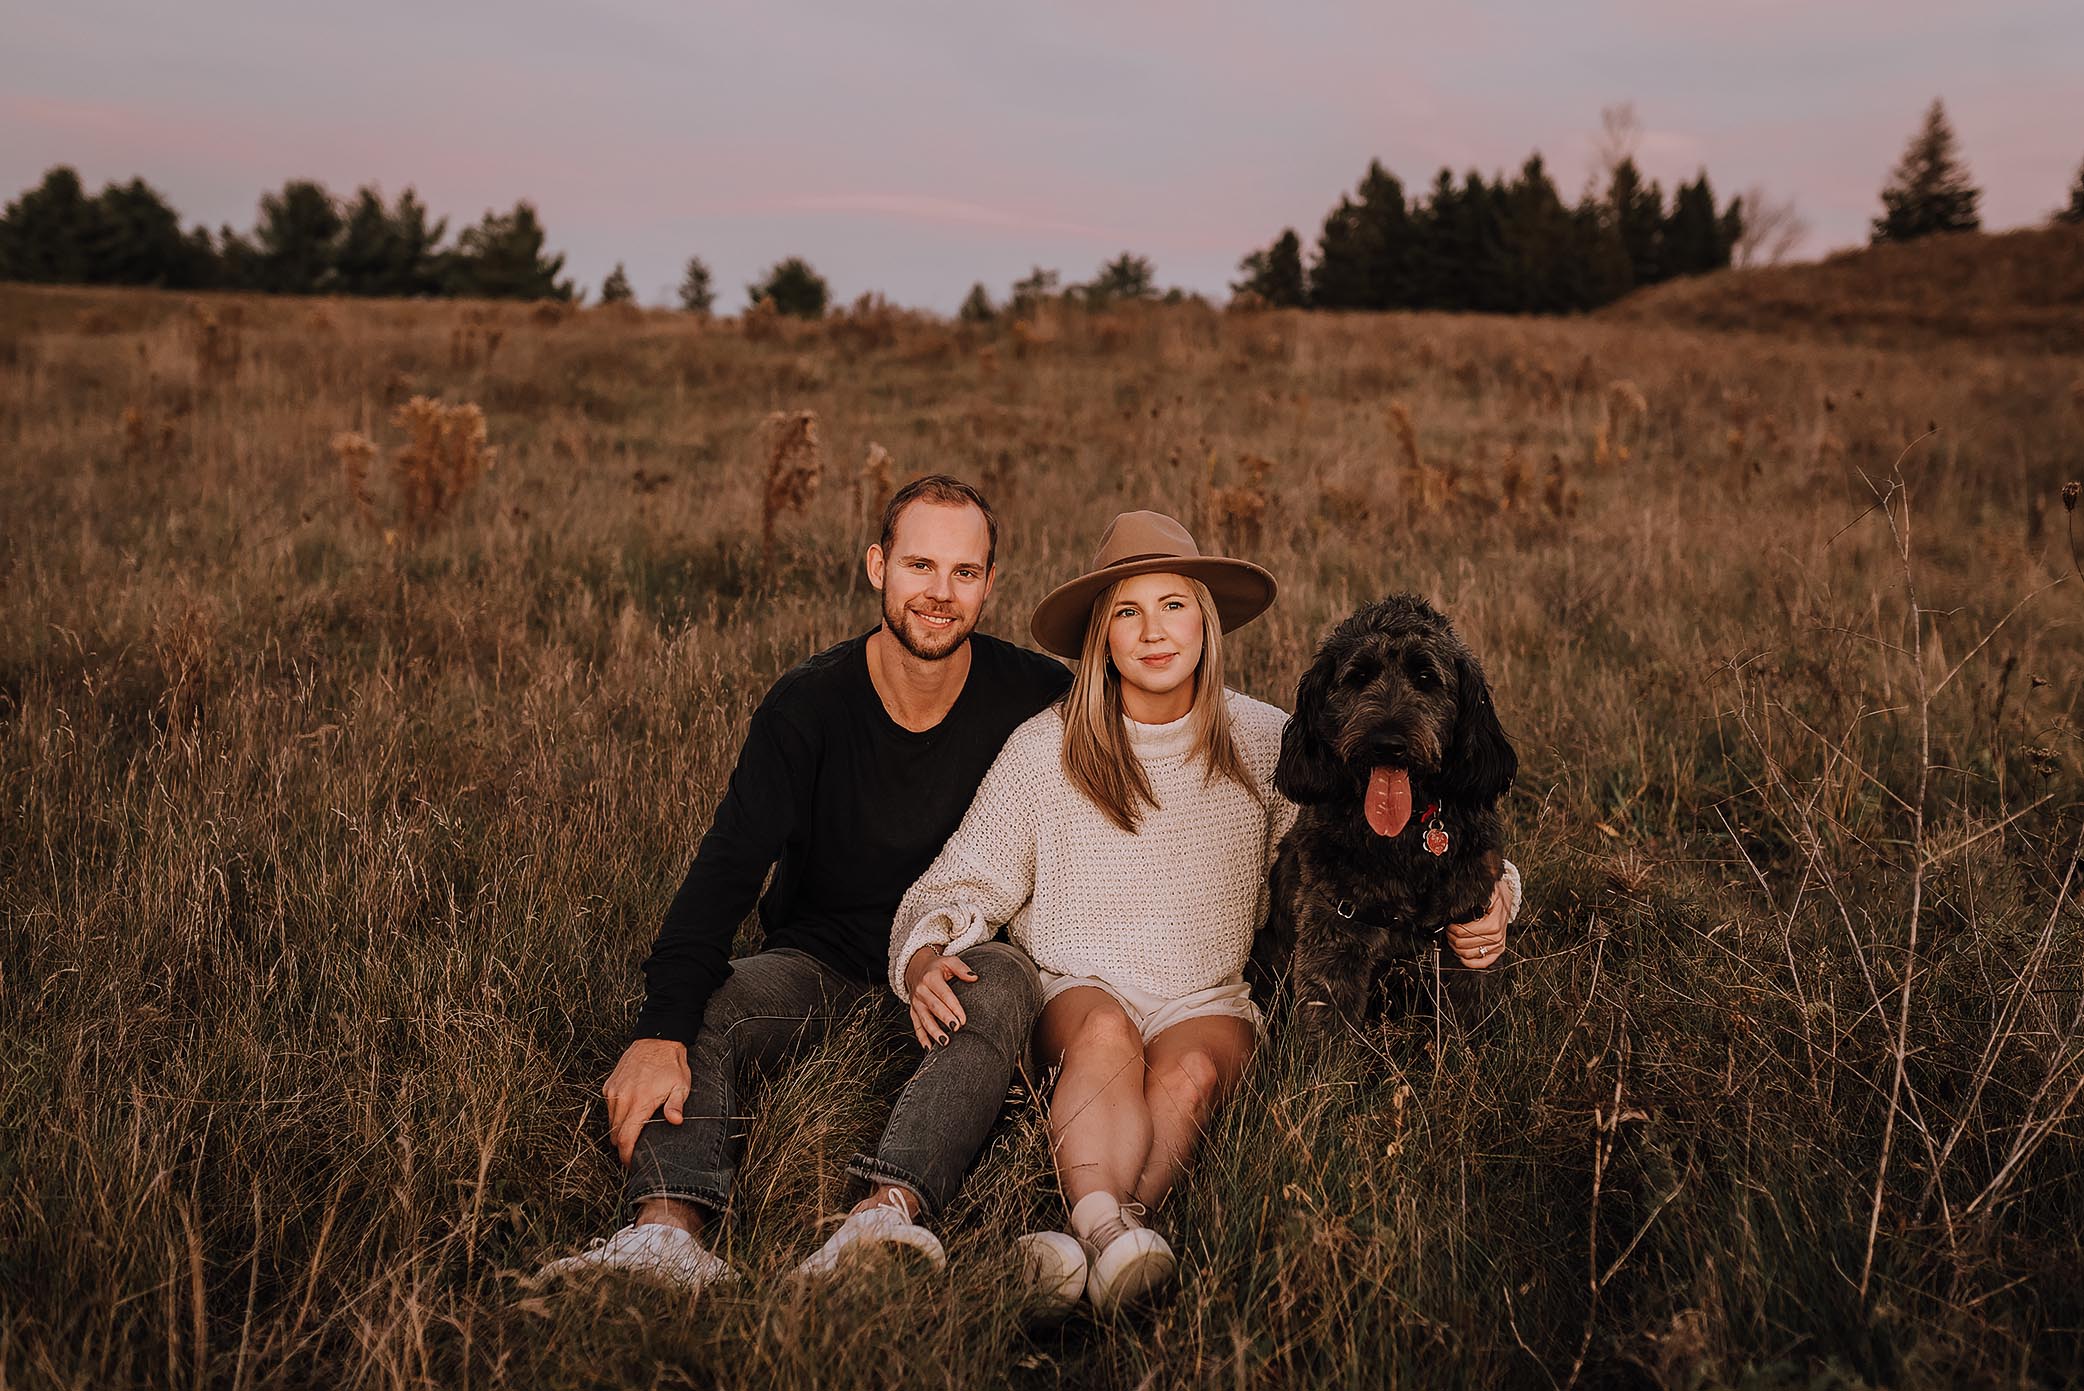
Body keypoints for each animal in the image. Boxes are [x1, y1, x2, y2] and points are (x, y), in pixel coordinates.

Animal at [1242, 592, 1525, 1038]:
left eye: (1426, 677)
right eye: (1358, 677)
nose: (1387, 743)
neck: (1406, 835)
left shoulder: (1468, 930)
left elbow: (1469, 1014)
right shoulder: (1336, 937)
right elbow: (1327, 1031)